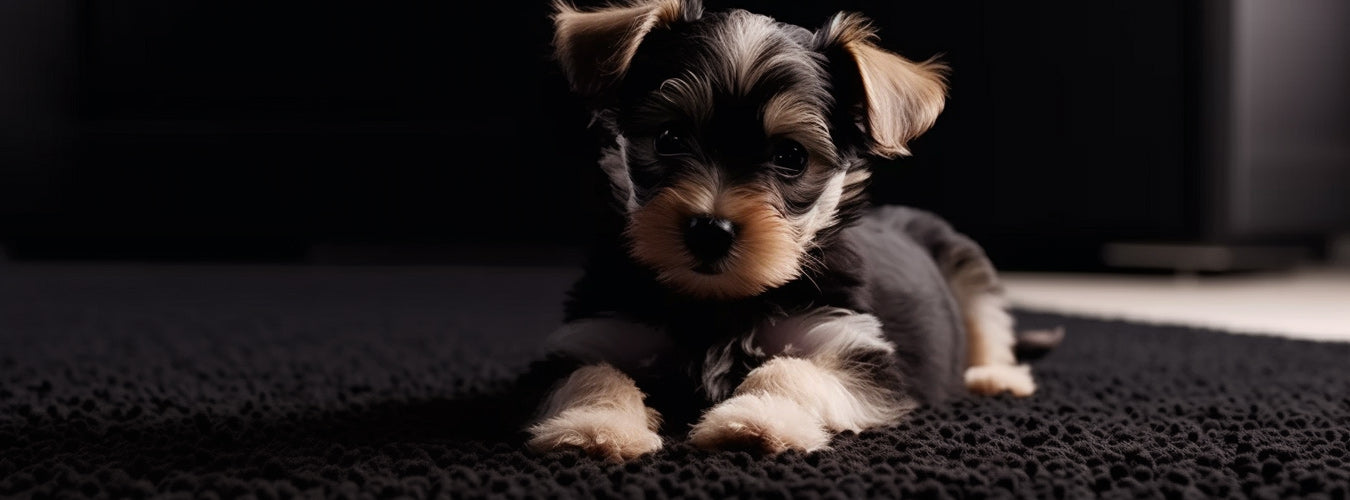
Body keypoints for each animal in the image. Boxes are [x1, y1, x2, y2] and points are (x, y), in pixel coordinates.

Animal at [523, 0, 1042, 462]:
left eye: (791, 156)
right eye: (669, 138)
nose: (710, 230)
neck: (719, 303)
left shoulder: (851, 346)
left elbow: (792, 371)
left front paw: (757, 420)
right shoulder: (595, 333)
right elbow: (590, 374)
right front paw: (597, 426)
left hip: (965, 260)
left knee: (987, 320)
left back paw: (997, 377)